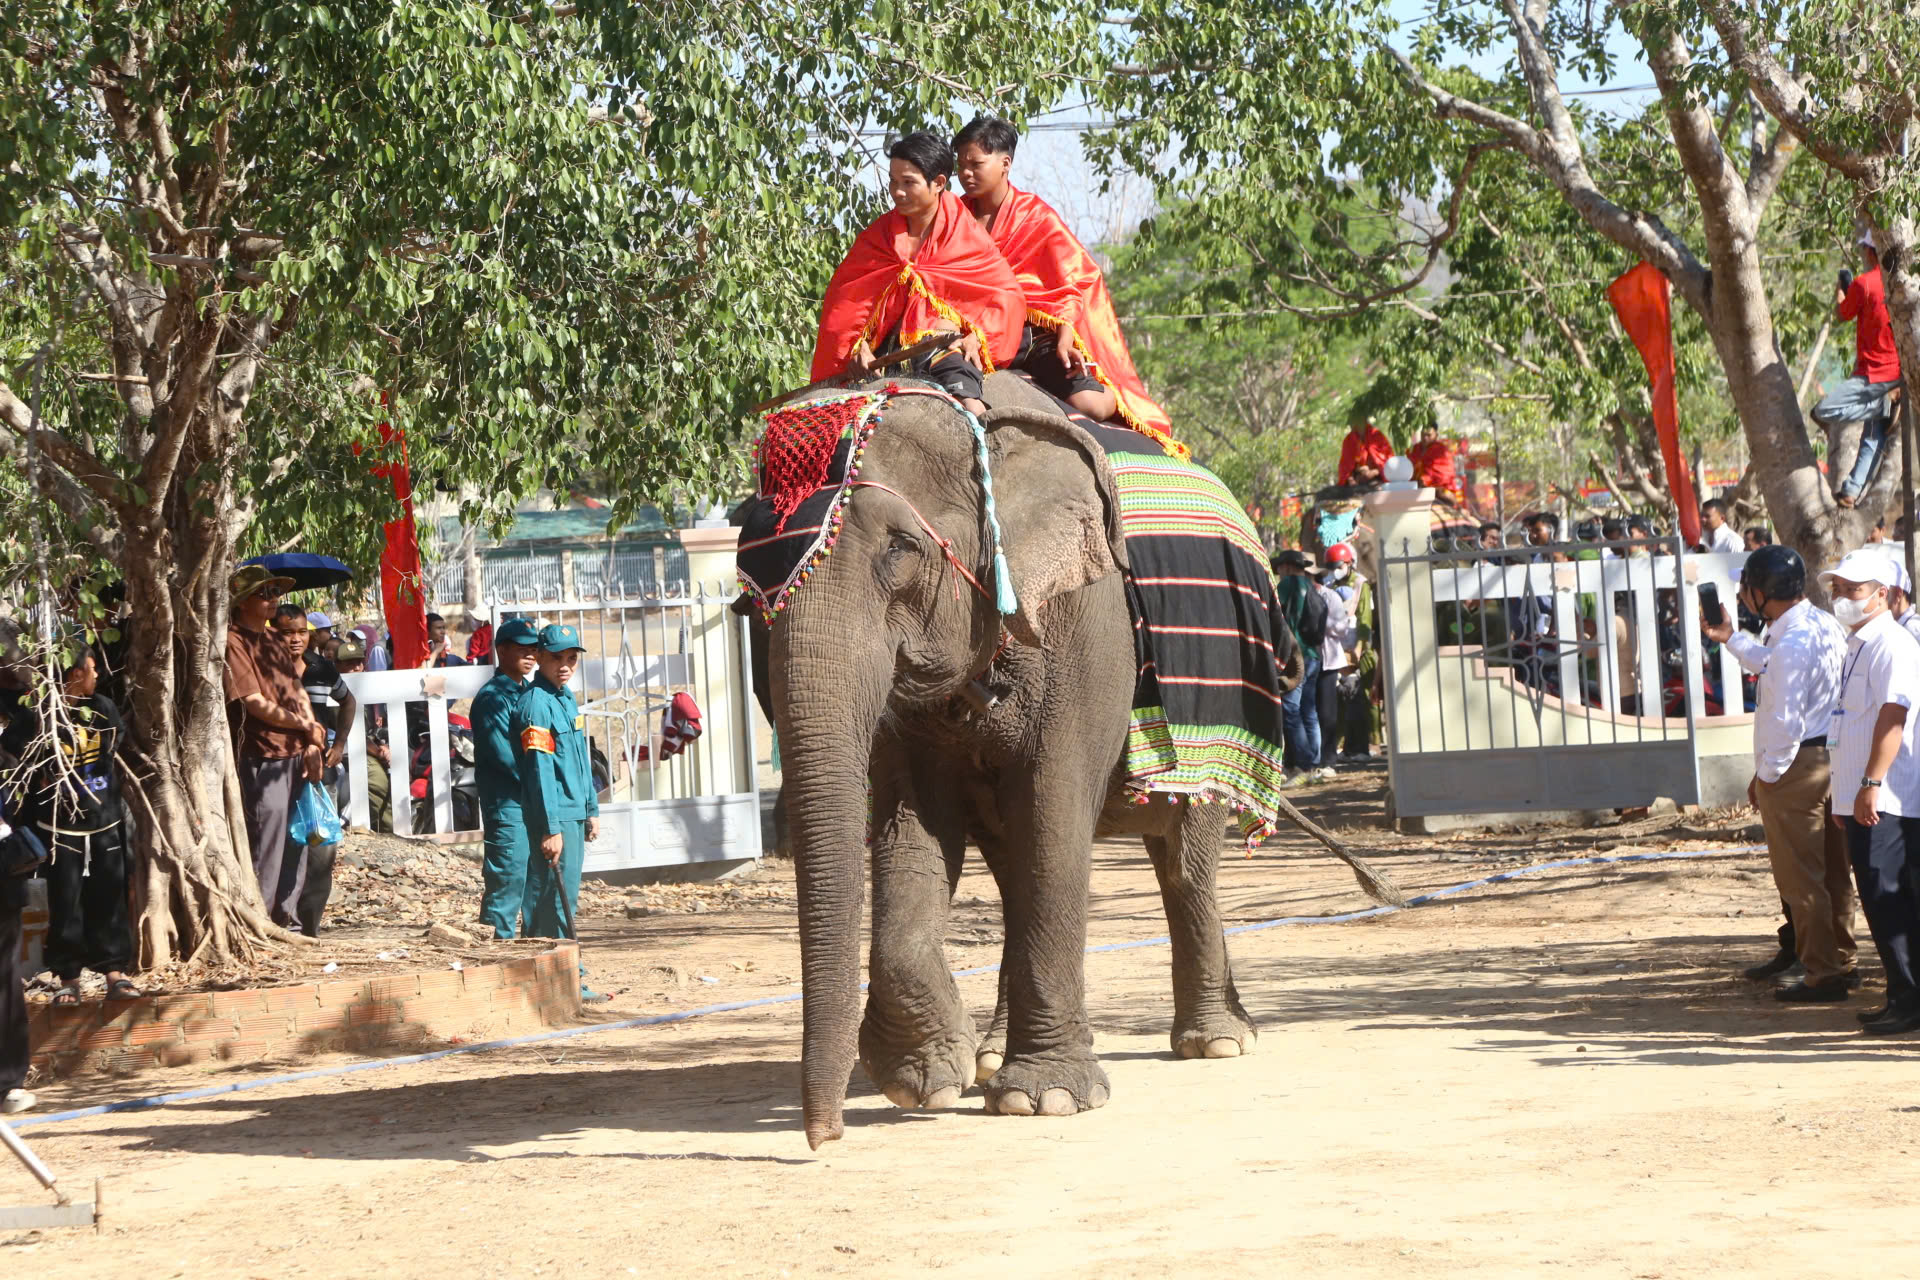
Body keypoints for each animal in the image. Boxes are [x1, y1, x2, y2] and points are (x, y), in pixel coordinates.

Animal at [748, 370, 1305, 1151]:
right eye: (747, 570)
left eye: (900, 549)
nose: (823, 1139)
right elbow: (911, 829)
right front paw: (923, 1077)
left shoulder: (1087, 629)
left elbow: (1053, 812)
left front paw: (1042, 1100)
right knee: (1018, 877)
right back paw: (989, 1056)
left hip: (1226, 711)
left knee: (1185, 861)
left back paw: (1217, 1041)